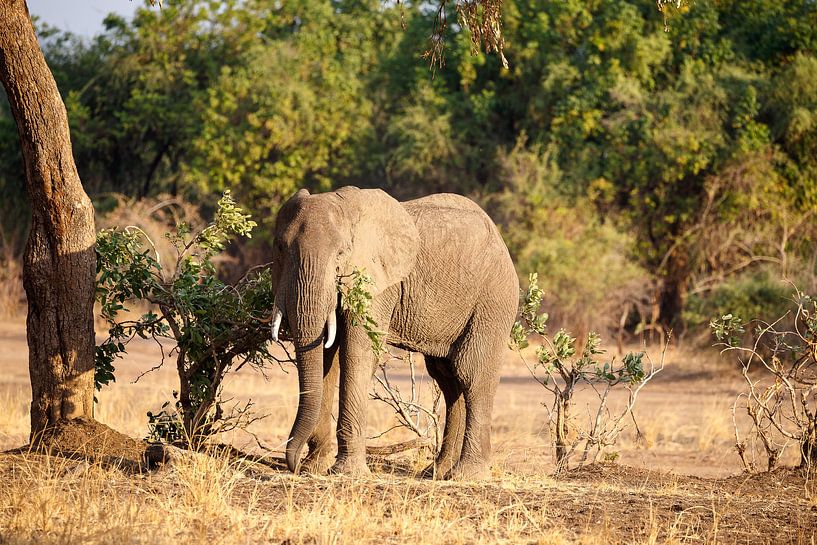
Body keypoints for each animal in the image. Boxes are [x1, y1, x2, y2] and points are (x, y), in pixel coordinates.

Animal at [269, 185, 519, 480]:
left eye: (342, 253)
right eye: (280, 248)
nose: (293, 465)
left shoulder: (377, 283)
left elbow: (356, 353)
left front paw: (346, 473)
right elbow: (327, 356)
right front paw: (314, 468)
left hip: (493, 301)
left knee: (472, 375)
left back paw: (466, 475)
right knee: (448, 378)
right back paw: (436, 473)